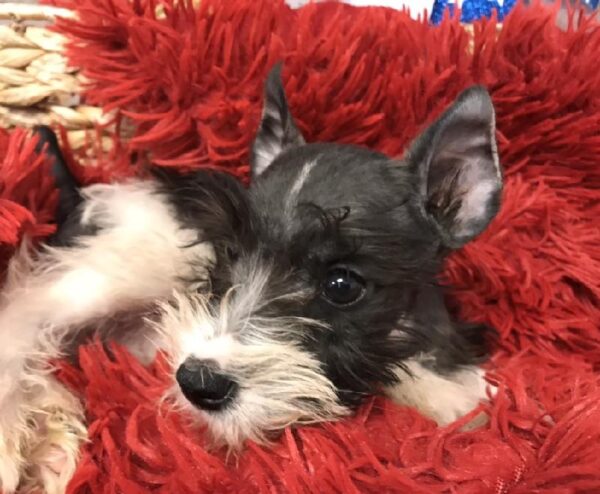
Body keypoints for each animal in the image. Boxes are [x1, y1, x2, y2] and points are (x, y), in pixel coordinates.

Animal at [0, 66, 502, 494]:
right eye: (230, 252)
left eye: (342, 286)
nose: (198, 382)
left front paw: (452, 398)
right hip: (110, 275)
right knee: (22, 318)